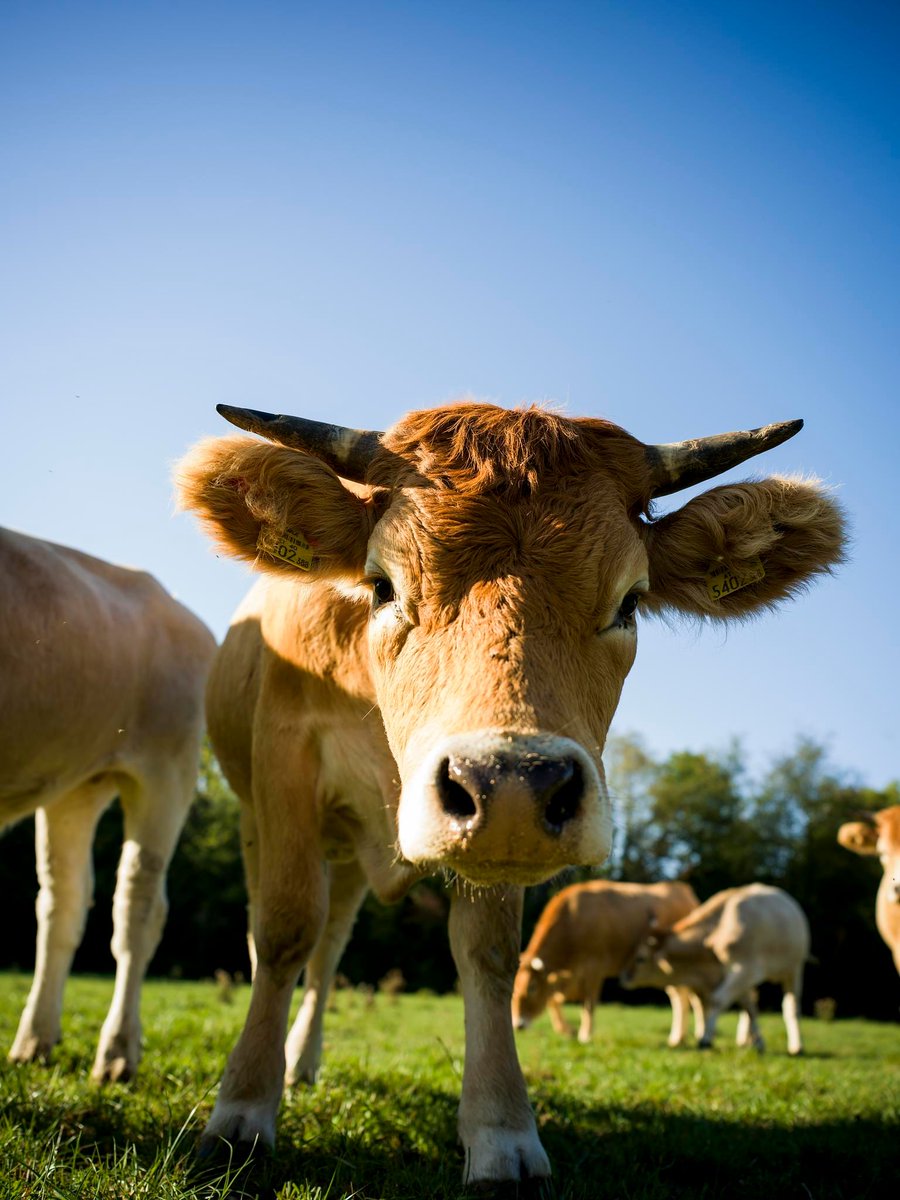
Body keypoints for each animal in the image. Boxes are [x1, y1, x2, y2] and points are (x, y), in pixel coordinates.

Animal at [1, 527, 215, 1081]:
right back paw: (34, 1040)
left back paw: (117, 1053)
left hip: (167, 771)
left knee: (138, 907)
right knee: (63, 903)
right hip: (75, 785)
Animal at [512, 880, 701, 1046]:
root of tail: (684, 890)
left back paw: (688, 1036)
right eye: (513, 990)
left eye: (532, 988)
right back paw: (678, 1038)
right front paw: (566, 1030)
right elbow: (554, 1000)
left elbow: (589, 1004)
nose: (518, 1025)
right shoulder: (567, 976)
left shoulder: (594, 967)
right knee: (679, 997)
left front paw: (585, 1035)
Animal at [620, 883, 810, 1055]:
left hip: (794, 967)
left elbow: (718, 1000)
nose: (624, 977)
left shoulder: (744, 969)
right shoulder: (730, 976)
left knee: (791, 1006)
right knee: (752, 1001)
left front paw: (705, 1040)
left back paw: (796, 1046)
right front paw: (757, 1042)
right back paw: (745, 1040)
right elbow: (748, 1007)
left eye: (640, 958)